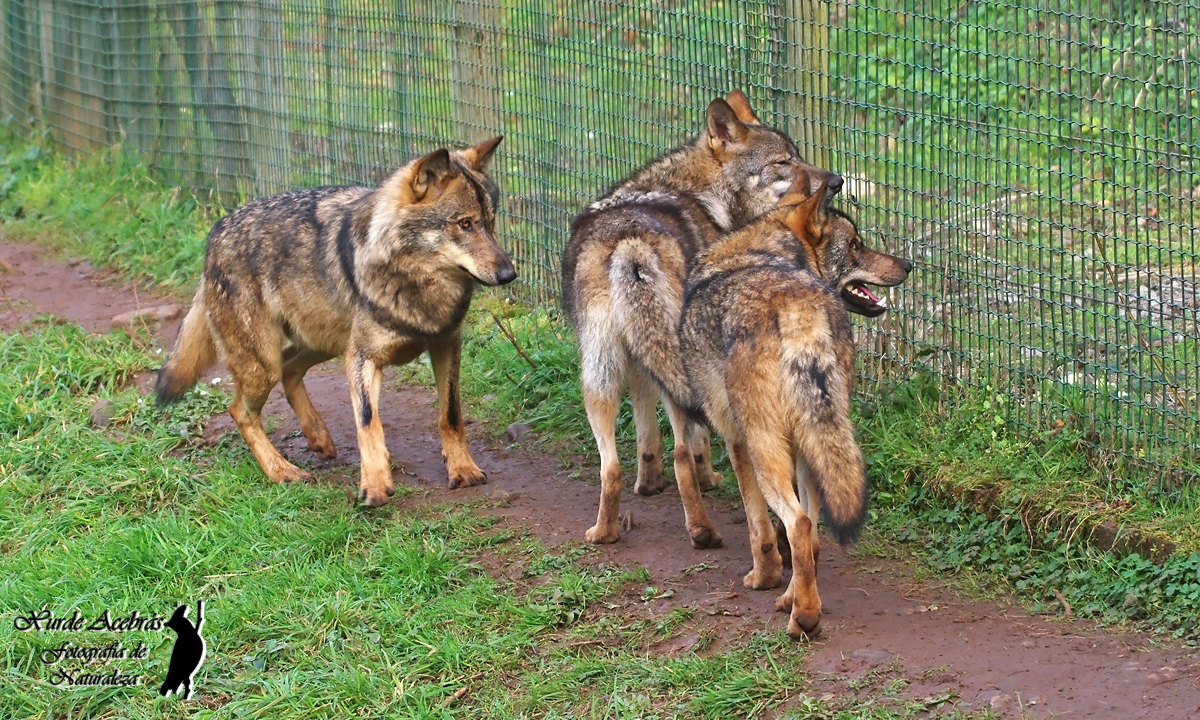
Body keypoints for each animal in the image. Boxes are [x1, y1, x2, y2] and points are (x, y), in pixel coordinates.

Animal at [156, 137, 515, 507]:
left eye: (490, 221)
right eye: (465, 224)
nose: (509, 274)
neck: (419, 286)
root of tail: (215, 234)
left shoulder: (446, 343)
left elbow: (451, 414)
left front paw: (463, 470)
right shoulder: (362, 357)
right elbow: (369, 421)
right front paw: (374, 486)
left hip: (325, 344)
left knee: (289, 368)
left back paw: (317, 435)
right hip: (267, 365)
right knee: (240, 409)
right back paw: (282, 471)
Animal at [561, 90, 843, 549]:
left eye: (798, 155)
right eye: (784, 162)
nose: (836, 181)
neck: (699, 193)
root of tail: (629, 244)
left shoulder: (638, 361)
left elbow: (645, 430)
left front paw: (648, 481)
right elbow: (697, 442)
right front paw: (709, 476)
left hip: (598, 373)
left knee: (611, 465)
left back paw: (604, 532)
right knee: (682, 451)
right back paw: (702, 531)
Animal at [672, 179, 911, 638]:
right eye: (857, 245)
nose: (908, 264)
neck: (762, 251)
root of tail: (800, 310)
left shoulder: (737, 442)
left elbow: (758, 527)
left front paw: (763, 578)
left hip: (768, 450)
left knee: (797, 523)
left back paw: (803, 618)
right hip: (814, 444)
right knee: (812, 532)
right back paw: (794, 602)